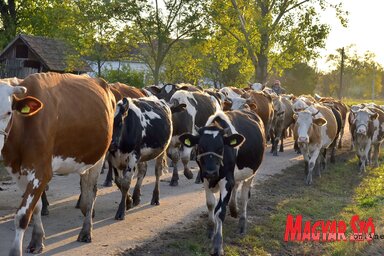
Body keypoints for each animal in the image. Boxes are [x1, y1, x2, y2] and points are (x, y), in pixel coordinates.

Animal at [1, 72, 115, 256]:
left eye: (9, 112)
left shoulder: (42, 171)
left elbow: (22, 215)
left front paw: (16, 250)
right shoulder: (17, 172)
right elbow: (36, 207)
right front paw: (37, 240)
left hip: (98, 158)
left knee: (91, 193)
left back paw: (86, 231)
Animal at [179, 110, 264, 256]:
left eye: (220, 148)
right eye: (201, 147)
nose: (211, 171)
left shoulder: (226, 180)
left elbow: (220, 211)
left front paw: (218, 245)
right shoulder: (205, 178)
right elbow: (210, 204)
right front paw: (210, 230)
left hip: (252, 173)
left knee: (244, 196)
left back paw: (242, 224)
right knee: (236, 187)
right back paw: (234, 209)